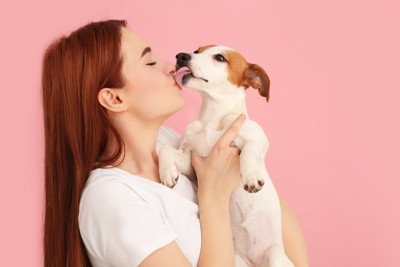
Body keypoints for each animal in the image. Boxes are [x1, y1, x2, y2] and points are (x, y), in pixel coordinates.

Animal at [159, 45, 294, 266]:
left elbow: (249, 150)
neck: (212, 119)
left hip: (275, 256)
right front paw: (167, 172)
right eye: (197, 50)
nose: (181, 56)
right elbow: (166, 150)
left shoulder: (257, 137)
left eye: (220, 58)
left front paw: (250, 177)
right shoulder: (193, 162)